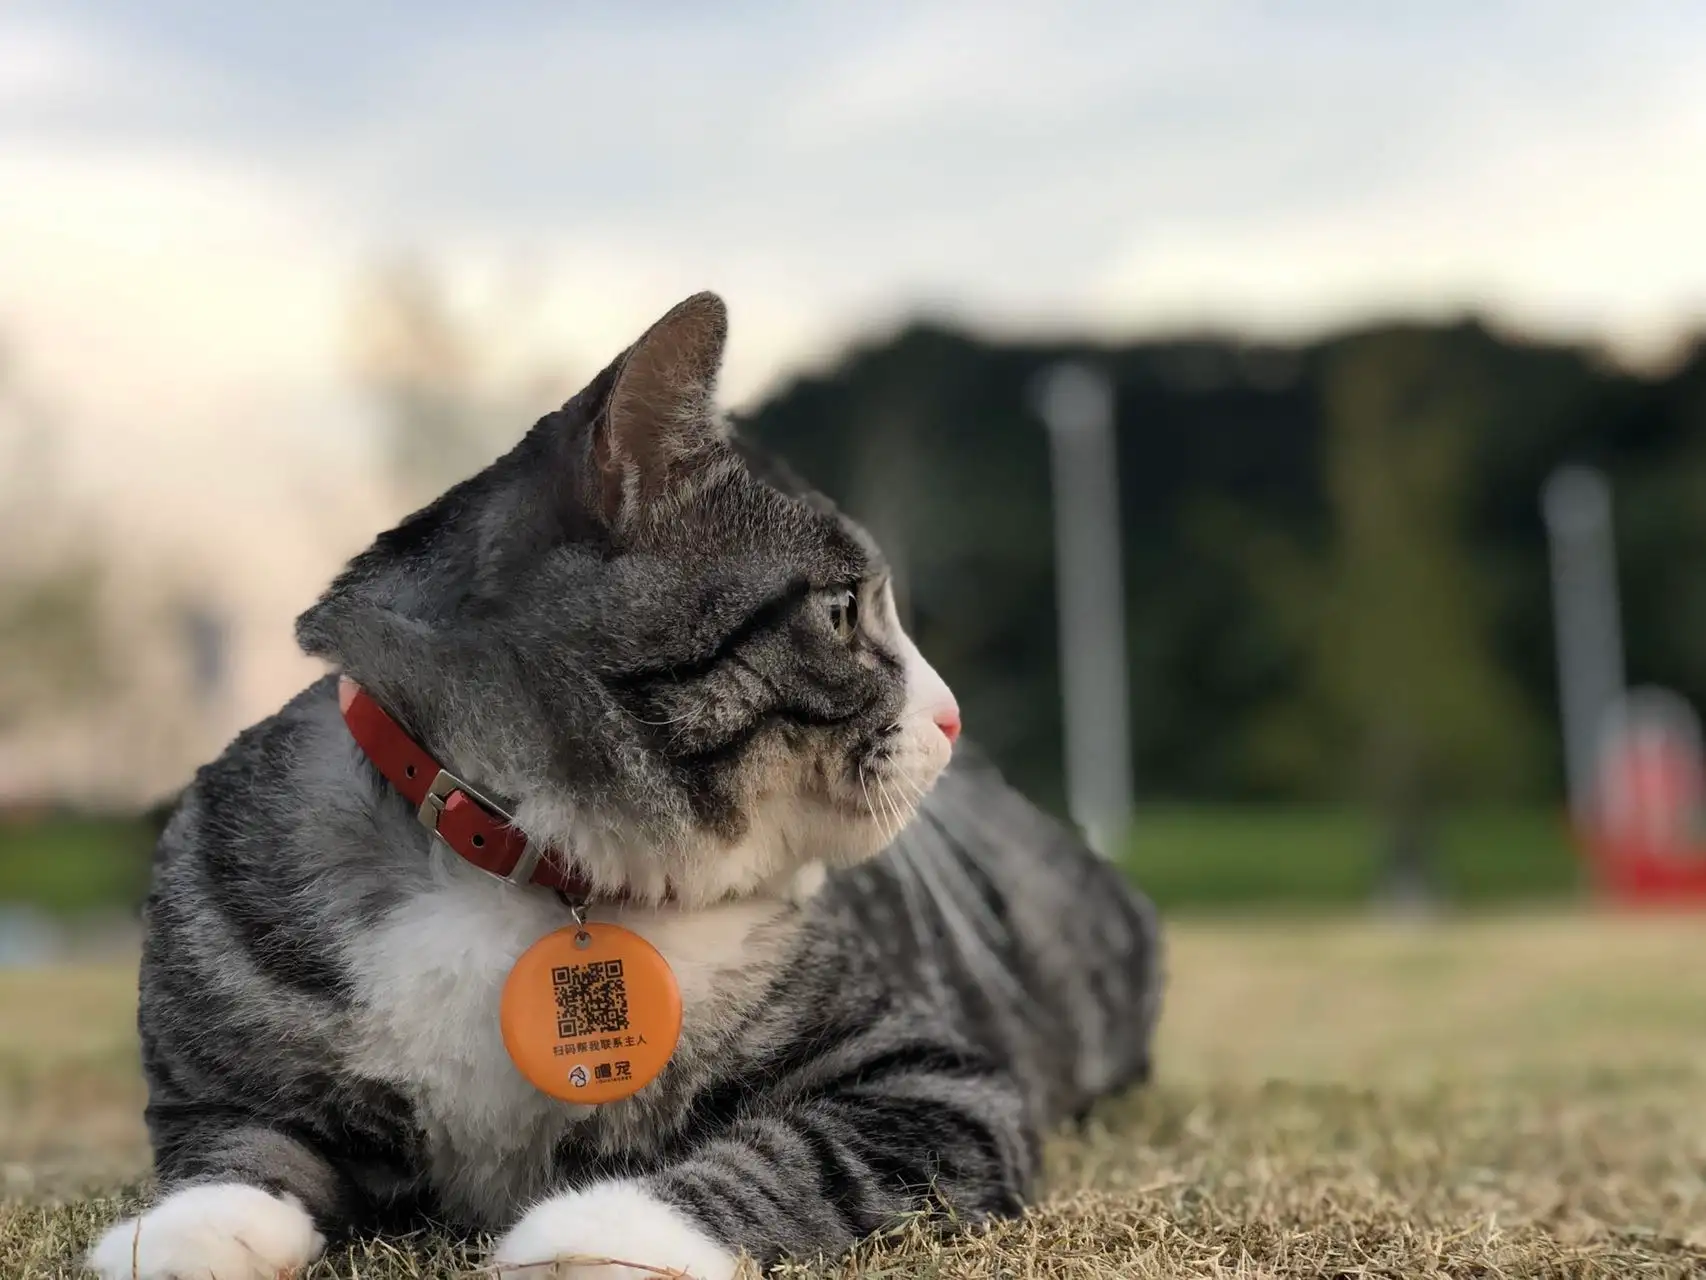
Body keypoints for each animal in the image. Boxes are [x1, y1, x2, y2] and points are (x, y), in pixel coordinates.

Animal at [83, 293, 1160, 1280]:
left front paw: (596, 1234)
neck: (520, 870)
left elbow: (799, 1156)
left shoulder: (933, 1080)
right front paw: (182, 1234)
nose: (953, 715)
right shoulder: (213, 1072)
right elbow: (239, 1146)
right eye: (843, 611)